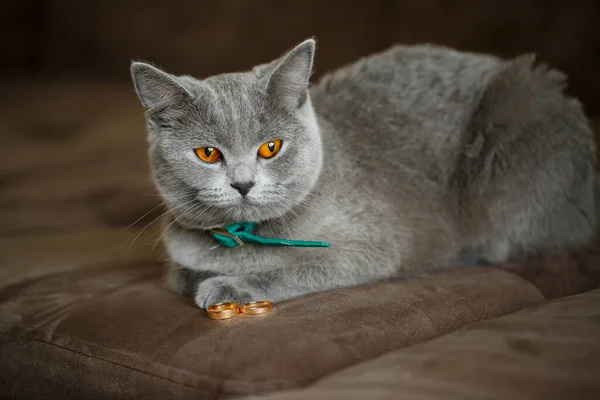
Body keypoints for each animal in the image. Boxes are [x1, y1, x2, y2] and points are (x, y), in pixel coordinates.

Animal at [129, 39, 596, 308]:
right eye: (207, 153)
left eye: (270, 148)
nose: (243, 183)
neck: (245, 237)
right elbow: (179, 273)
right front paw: (198, 277)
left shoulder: (374, 245)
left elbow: (298, 268)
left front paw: (228, 286)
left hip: (519, 121)